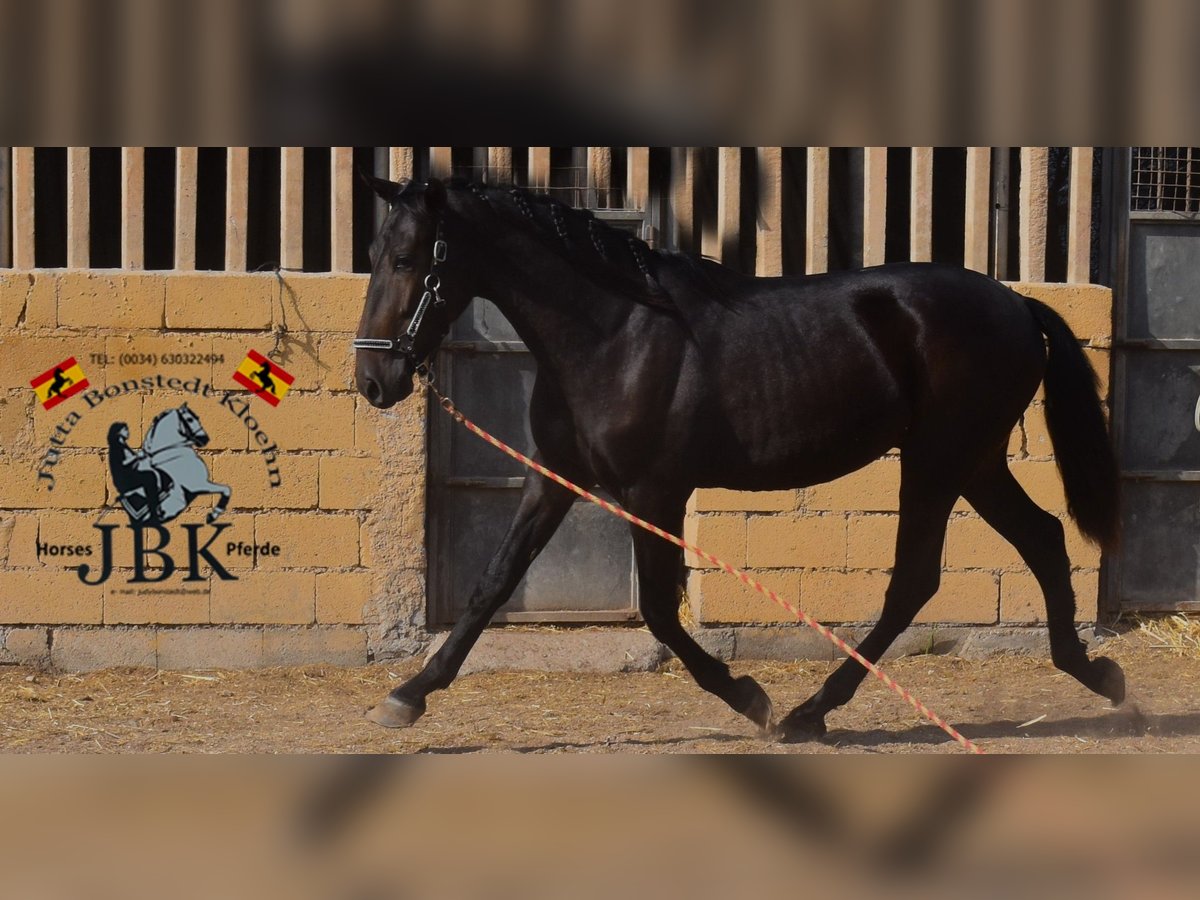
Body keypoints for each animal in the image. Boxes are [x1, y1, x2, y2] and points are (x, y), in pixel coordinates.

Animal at [350, 177, 1118, 748]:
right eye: (375, 252)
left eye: (408, 258)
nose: (374, 382)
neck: (615, 331)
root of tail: (1017, 301)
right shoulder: (554, 476)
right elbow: (494, 582)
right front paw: (408, 695)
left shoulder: (652, 490)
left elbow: (660, 612)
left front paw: (749, 697)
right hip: (977, 462)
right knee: (1043, 539)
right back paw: (1100, 677)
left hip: (939, 460)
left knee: (916, 580)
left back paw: (809, 713)